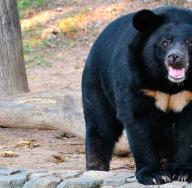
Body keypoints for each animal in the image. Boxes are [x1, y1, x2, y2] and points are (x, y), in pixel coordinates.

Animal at [82, 6, 192, 185]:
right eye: (165, 43)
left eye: (189, 42)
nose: (175, 58)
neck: (168, 84)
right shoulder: (136, 76)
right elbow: (137, 119)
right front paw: (153, 175)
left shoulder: (189, 93)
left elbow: (187, 130)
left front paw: (184, 173)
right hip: (96, 81)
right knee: (100, 124)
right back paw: (95, 169)